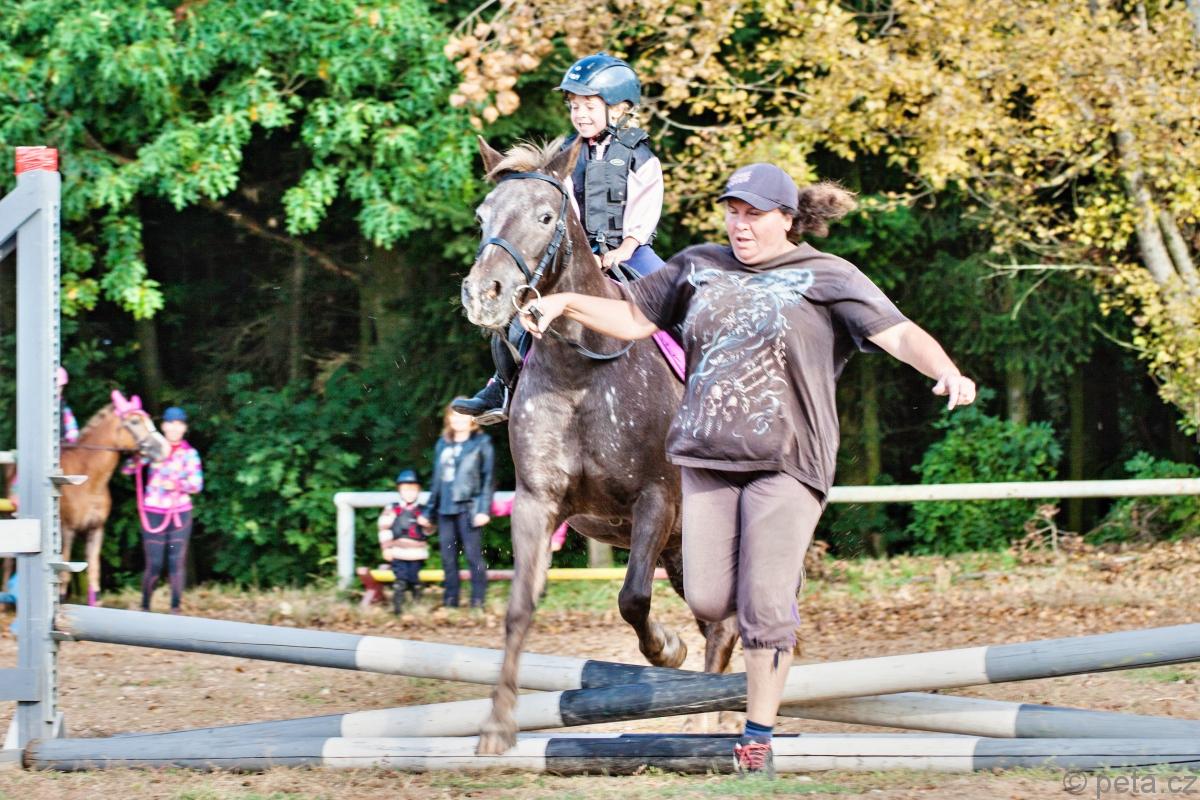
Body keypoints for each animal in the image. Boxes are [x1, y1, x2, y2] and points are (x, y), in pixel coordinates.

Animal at [60, 390, 169, 604]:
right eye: (134, 421)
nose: (164, 448)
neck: (88, 481)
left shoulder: (96, 530)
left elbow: (94, 573)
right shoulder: (67, 531)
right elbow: (63, 575)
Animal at [460, 137, 740, 754]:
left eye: (546, 217)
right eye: (482, 217)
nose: (484, 295)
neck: (580, 370)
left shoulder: (655, 500)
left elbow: (632, 597)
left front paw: (666, 649)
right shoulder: (537, 502)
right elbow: (519, 607)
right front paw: (496, 726)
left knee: (730, 621)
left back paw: (711, 721)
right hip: (681, 552)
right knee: (720, 622)